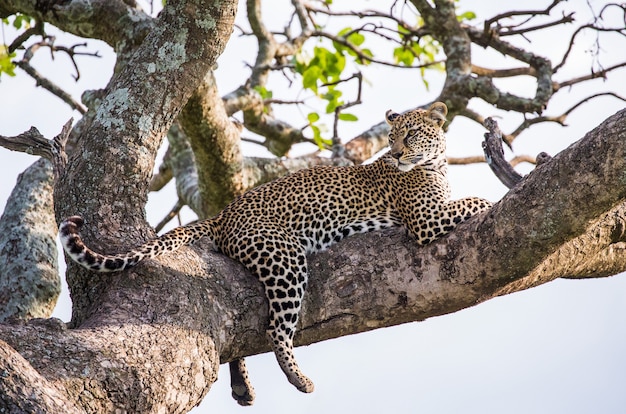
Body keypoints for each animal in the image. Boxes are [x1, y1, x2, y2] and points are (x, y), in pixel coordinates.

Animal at [58, 102, 490, 406]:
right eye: (391, 137)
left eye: (412, 133)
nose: (399, 154)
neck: (436, 164)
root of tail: (224, 214)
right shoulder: (425, 219)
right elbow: (476, 200)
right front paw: (487, 201)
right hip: (285, 258)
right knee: (274, 328)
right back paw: (300, 379)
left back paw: (242, 386)